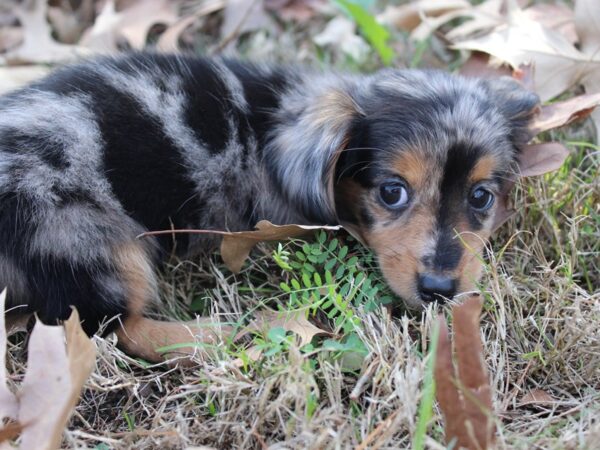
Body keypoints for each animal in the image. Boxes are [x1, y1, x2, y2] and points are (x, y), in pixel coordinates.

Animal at [0, 52, 536, 362]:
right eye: (391, 192)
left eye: (481, 197)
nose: (440, 291)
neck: (277, 120)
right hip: (92, 245)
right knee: (113, 330)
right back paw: (233, 333)